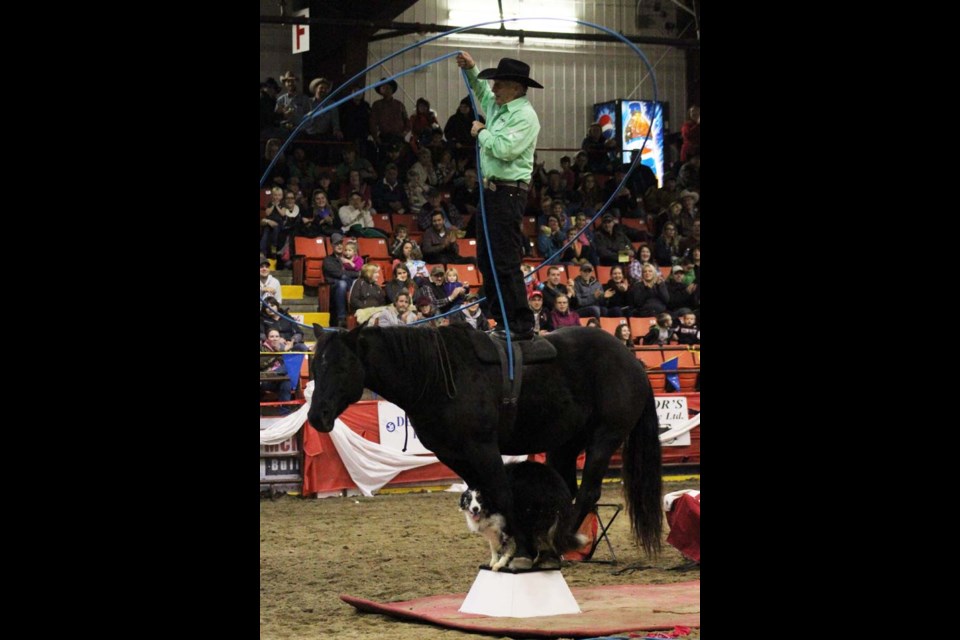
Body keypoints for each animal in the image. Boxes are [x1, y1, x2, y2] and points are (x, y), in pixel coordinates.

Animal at [308, 324, 660, 564]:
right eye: (315, 366)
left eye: (341, 366)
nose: (316, 415)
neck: (438, 377)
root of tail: (631, 360)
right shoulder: (455, 454)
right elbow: (483, 494)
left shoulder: (482, 448)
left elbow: (502, 493)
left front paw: (522, 548)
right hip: (566, 443)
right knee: (569, 491)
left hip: (605, 437)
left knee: (588, 492)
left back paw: (560, 542)